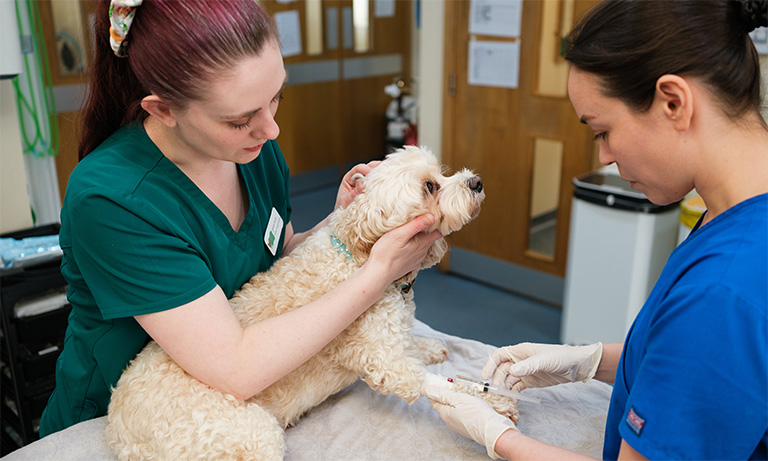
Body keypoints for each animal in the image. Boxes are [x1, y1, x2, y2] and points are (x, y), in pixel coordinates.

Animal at [106, 147, 516, 460]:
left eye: (440, 173)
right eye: (430, 186)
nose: (476, 182)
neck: (358, 256)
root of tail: (118, 427)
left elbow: (412, 342)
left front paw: (430, 347)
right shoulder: (384, 363)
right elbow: (439, 384)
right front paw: (489, 404)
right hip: (250, 435)